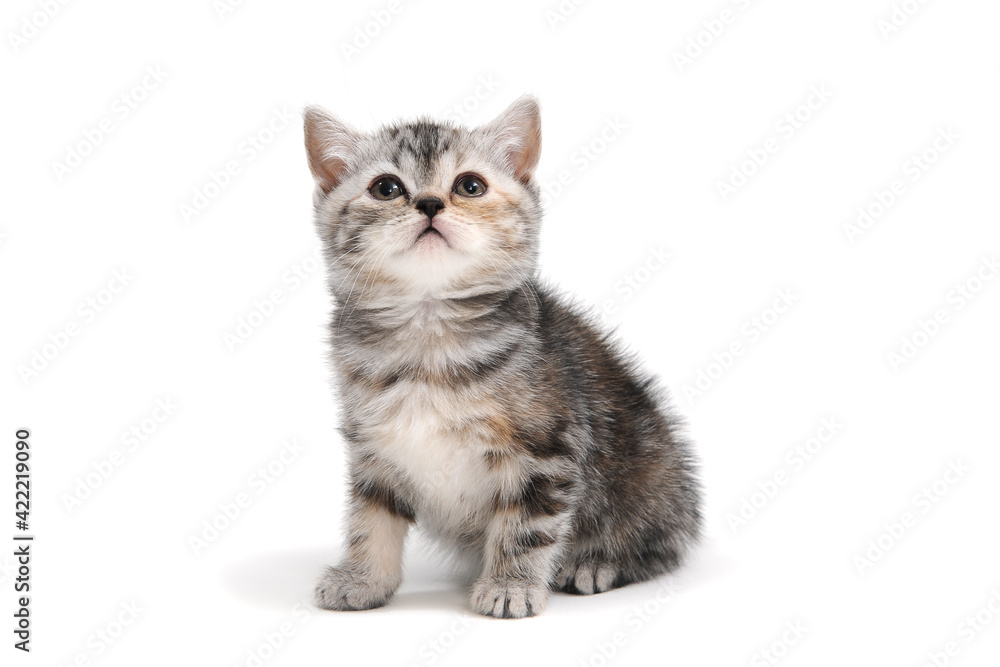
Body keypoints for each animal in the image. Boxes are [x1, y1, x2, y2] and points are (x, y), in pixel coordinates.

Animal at [300, 96, 700, 620]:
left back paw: (597, 563)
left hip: (650, 476)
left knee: (659, 544)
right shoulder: (374, 450)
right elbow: (370, 519)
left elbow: (526, 526)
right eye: (386, 188)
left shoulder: (546, 449)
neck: (429, 339)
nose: (430, 203)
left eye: (470, 186)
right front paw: (362, 579)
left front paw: (511, 585)